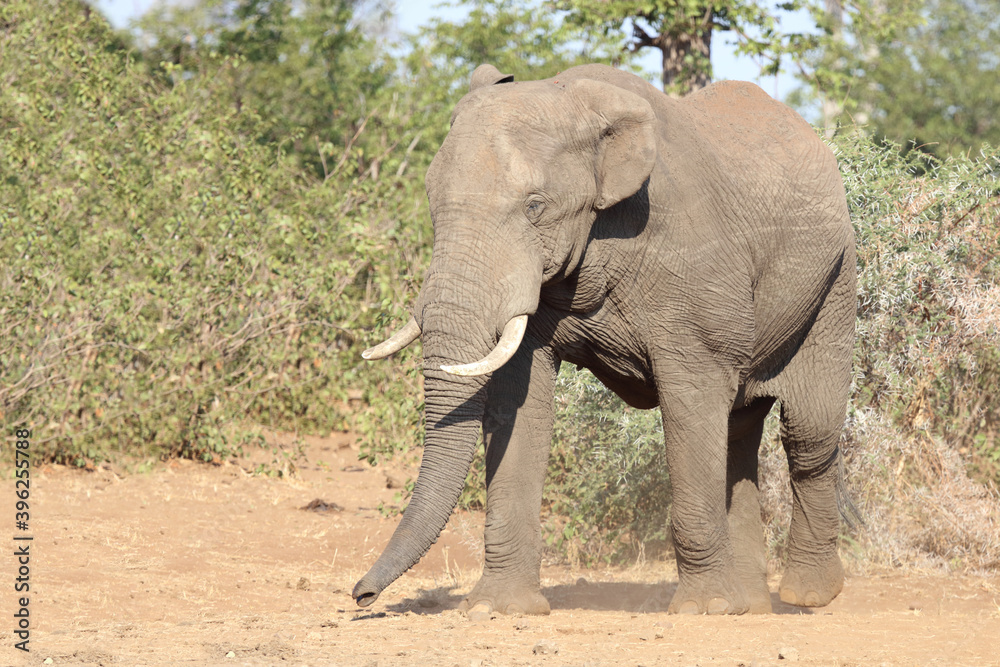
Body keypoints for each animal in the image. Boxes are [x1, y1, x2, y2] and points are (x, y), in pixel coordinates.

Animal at [352, 62, 855, 616]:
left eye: (535, 207)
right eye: (432, 203)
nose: (362, 595)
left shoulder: (695, 269)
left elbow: (692, 398)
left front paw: (703, 610)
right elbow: (517, 404)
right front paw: (496, 609)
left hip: (834, 280)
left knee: (808, 433)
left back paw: (808, 594)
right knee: (739, 430)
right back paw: (750, 605)